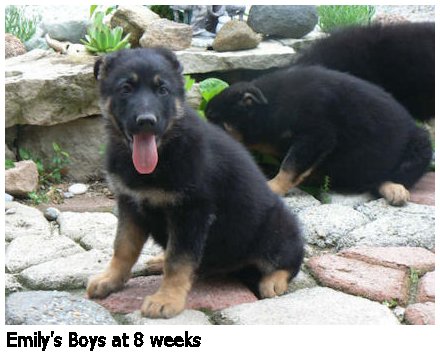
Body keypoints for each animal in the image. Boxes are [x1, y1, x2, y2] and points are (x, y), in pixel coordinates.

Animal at [87, 47, 304, 320]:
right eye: (126, 88)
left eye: (162, 90)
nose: (146, 121)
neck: (165, 151)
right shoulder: (130, 204)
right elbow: (123, 247)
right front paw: (110, 279)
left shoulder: (191, 212)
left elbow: (178, 260)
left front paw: (167, 299)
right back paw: (159, 260)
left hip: (276, 227)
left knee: (291, 258)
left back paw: (273, 280)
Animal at [206, 64, 434, 206]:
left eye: (215, 121)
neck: (270, 107)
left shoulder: (316, 136)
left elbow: (289, 166)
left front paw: (273, 187)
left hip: (421, 145)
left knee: (390, 177)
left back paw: (394, 188)